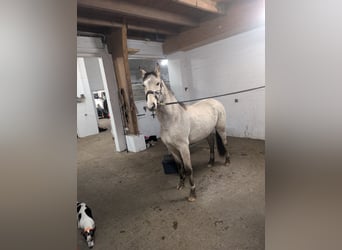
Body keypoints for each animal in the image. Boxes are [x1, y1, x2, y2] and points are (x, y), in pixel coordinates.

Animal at [139, 64, 230, 201]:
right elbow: (179, 166)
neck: (172, 119)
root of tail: (215, 102)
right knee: (211, 145)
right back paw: (210, 163)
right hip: (208, 133)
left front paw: (192, 194)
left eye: (157, 83)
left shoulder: (183, 147)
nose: (151, 105)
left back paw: (227, 162)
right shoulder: (172, 148)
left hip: (221, 129)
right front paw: (180, 185)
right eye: (143, 85)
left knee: (224, 143)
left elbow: (188, 169)